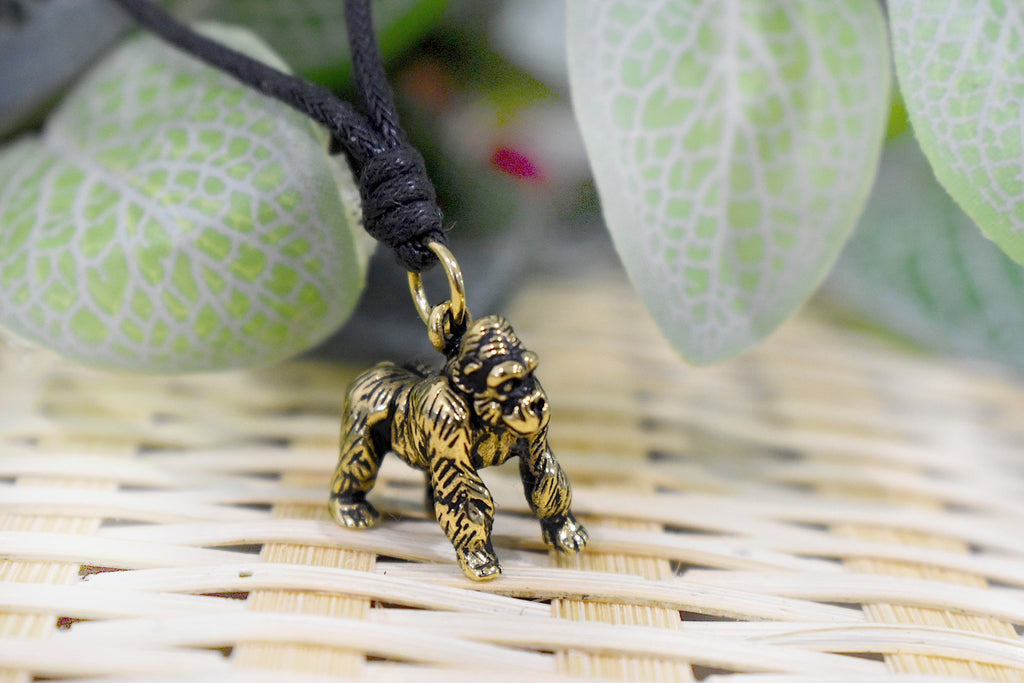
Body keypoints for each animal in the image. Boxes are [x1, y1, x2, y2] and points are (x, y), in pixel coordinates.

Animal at [329, 314, 588, 580]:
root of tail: (377, 368)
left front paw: (561, 526)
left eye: (527, 373)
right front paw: (477, 554)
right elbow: (463, 488)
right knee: (359, 459)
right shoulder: (446, 415)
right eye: (507, 383)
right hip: (361, 410)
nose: (535, 404)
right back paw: (349, 506)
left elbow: (541, 469)